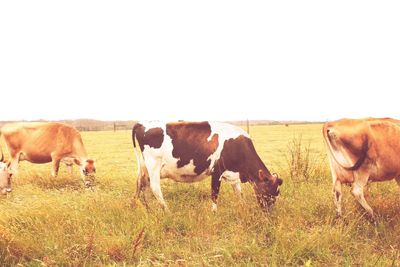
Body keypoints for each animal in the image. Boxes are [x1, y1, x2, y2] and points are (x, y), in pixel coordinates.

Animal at [131, 121, 282, 211]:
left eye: (276, 193)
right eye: (268, 193)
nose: (269, 213)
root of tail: (142, 124)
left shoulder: (233, 174)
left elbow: (239, 193)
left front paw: (242, 207)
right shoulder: (217, 171)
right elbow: (214, 194)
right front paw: (214, 212)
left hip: (145, 169)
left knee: (142, 185)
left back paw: (147, 209)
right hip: (154, 165)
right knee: (155, 188)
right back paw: (167, 211)